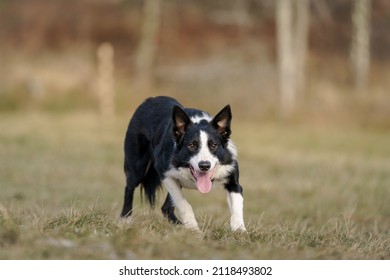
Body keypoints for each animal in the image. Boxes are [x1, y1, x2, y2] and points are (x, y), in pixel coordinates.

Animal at [120, 96, 245, 232]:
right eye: (191, 145)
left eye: (213, 145)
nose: (204, 166)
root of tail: (149, 100)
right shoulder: (164, 172)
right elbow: (183, 204)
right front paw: (193, 228)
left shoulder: (232, 177)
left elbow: (237, 205)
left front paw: (239, 230)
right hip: (137, 167)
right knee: (129, 188)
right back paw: (125, 220)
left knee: (165, 208)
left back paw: (179, 226)